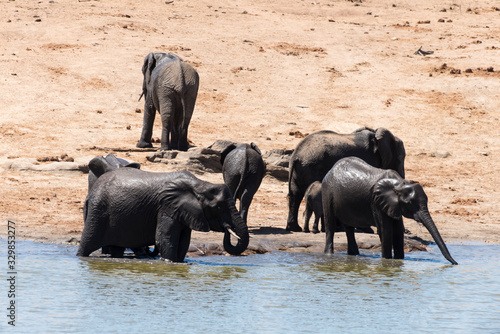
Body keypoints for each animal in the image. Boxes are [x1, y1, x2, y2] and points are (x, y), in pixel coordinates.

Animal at [76, 168, 248, 262]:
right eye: (218, 207)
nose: (227, 227)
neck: (200, 184)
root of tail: (90, 194)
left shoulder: (183, 213)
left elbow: (183, 241)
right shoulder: (167, 207)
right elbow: (164, 238)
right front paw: (169, 262)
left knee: (116, 248)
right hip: (98, 211)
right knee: (87, 242)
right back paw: (81, 257)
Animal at [320, 158, 458, 264]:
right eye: (409, 204)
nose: (456, 263)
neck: (399, 184)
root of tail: (331, 169)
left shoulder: (393, 205)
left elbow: (398, 231)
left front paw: (399, 261)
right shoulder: (376, 202)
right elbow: (385, 230)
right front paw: (386, 261)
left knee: (349, 228)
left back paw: (354, 255)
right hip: (327, 191)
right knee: (330, 225)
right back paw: (329, 255)